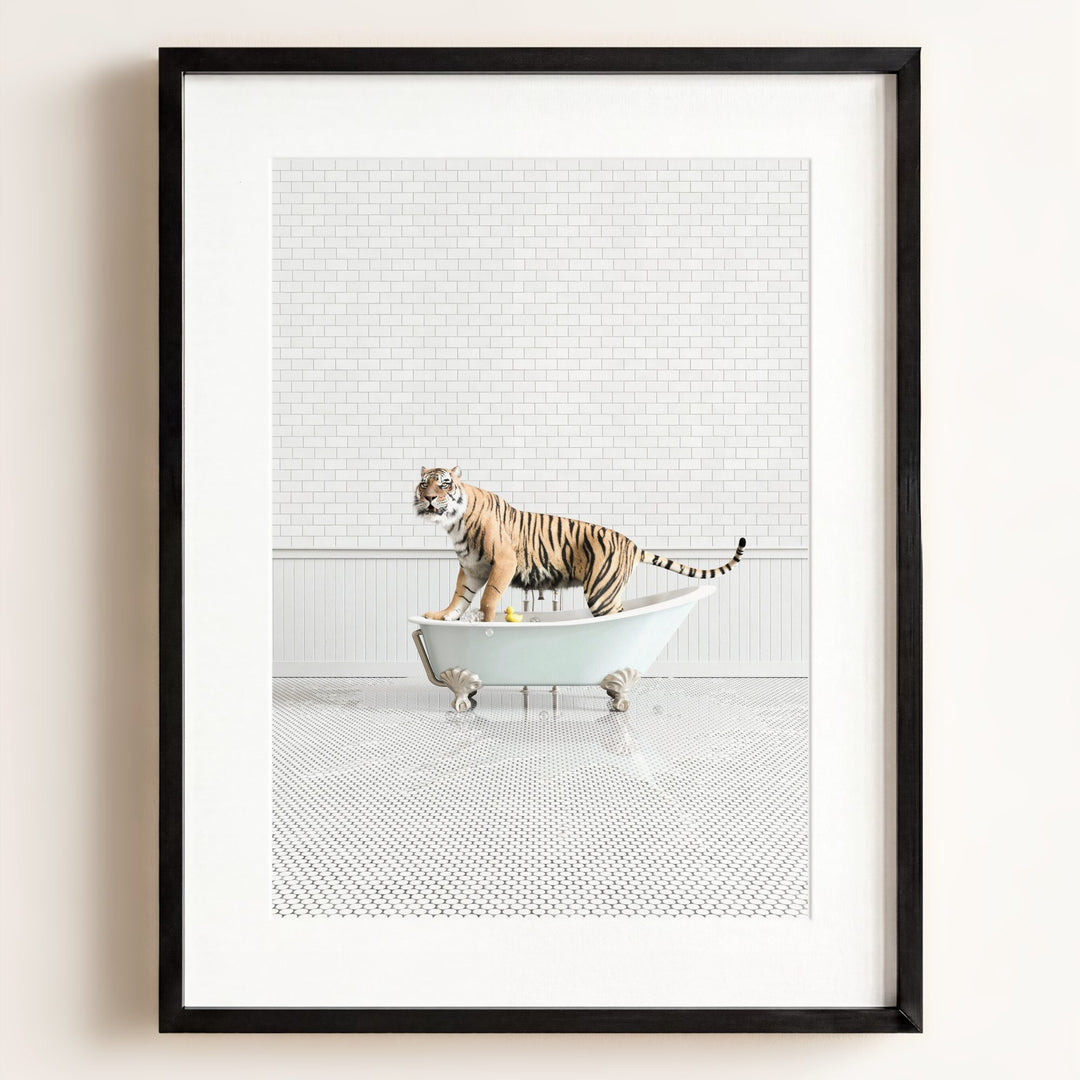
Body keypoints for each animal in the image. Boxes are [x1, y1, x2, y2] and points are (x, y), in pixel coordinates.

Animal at [415, 466, 746, 623]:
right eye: (424, 483)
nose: (429, 498)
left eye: (444, 484)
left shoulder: (503, 562)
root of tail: (631, 544)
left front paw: (484, 621)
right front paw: (442, 616)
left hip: (601, 591)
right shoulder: (472, 568)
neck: (454, 523)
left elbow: (487, 598)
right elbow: (459, 597)